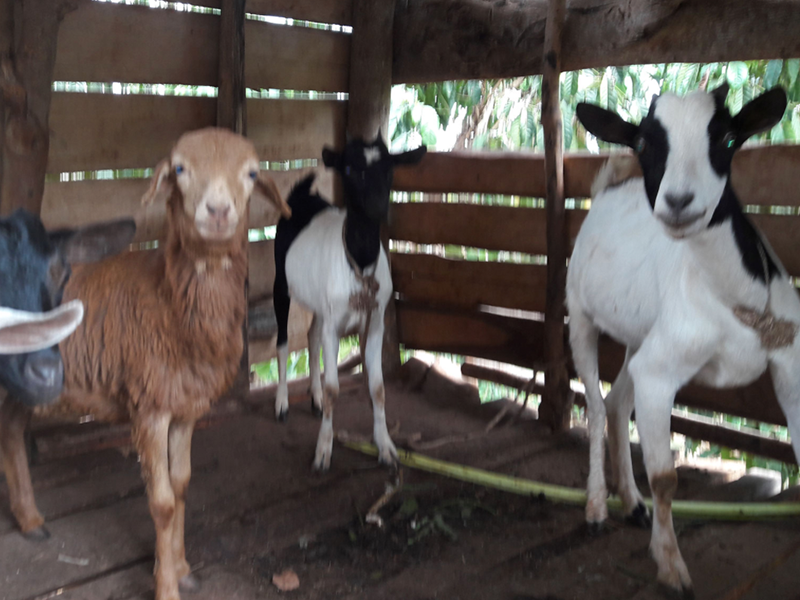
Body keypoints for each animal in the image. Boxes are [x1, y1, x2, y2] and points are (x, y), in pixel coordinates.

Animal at [0, 128, 291, 600]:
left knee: (9, 429)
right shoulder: (149, 407)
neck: (169, 301)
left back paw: (30, 520)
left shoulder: (186, 407)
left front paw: (183, 566)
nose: (218, 211)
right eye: (180, 169)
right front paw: (167, 585)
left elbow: (183, 485)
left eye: (251, 173)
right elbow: (163, 502)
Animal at [273, 133, 426, 471]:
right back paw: (282, 403)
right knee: (283, 342)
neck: (360, 264)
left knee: (312, 335)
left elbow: (378, 388)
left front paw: (385, 446)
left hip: (320, 302)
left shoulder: (376, 321)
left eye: (390, 167)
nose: (379, 205)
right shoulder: (335, 326)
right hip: (281, 284)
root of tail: (301, 197)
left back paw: (314, 399)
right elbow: (334, 389)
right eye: (348, 168)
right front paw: (323, 451)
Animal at [567, 84, 798, 596]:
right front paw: (671, 566)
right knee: (596, 404)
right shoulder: (660, 374)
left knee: (618, 403)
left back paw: (632, 505)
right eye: (643, 142)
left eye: (728, 138)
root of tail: (608, 191)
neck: (731, 298)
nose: (678, 200)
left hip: (640, 335)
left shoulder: (791, 367)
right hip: (579, 315)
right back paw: (595, 508)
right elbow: (665, 478)